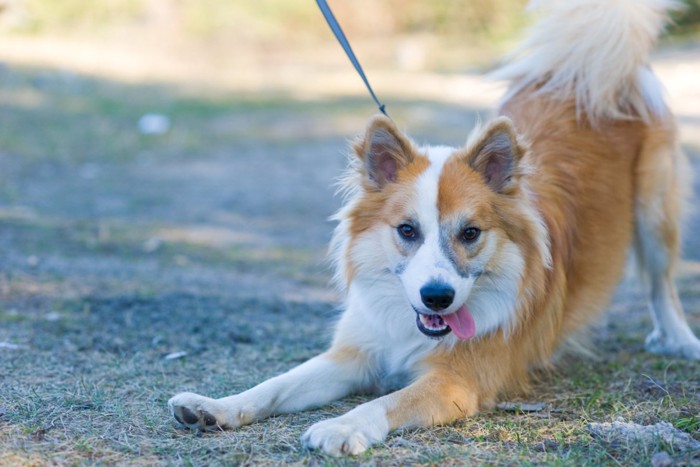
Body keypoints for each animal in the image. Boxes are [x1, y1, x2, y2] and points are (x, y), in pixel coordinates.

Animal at [170, 0, 700, 456]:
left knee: (661, 283)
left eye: (470, 233)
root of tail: (583, 75)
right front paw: (214, 407)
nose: (438, 297)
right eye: (407, 230)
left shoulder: (457, 381)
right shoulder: (354, 353)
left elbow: (385, 401)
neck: (411, 329)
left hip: (655, 215)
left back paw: (678, 339)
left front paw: (340, 427)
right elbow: (277, 384)